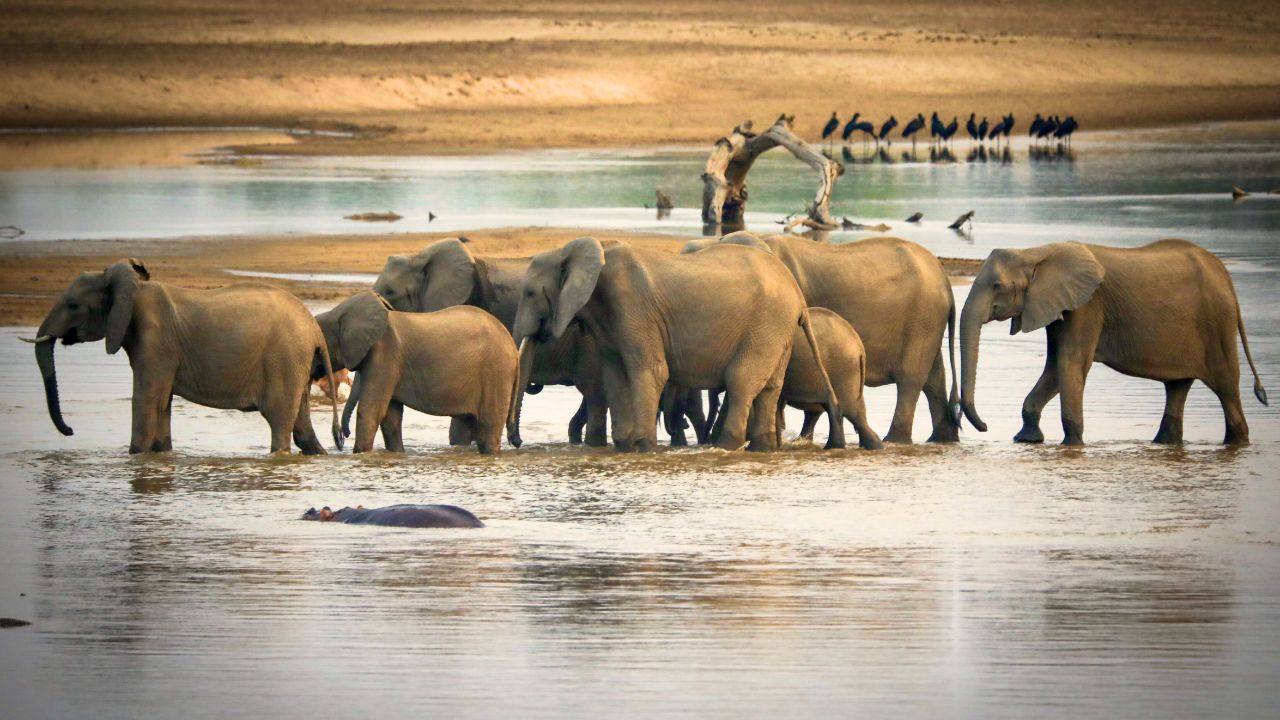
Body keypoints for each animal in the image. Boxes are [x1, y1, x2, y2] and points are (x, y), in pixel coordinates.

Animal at [25, 259, 341, 454]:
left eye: (73, 305)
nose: (70, 430)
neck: (135, 288)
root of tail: (314, 329)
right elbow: (162, 403)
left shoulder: (155, 342)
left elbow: (145, 400)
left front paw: (135, 456)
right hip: (295, 363)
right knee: (302, 429)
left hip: (284, 359)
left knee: (280, 422)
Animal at [316, 291, 520, 455]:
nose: (341, 439)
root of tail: (513, 347)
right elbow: (391, 417)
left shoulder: (384, 356)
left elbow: (370, 411)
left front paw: (360, 455)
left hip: (497, 373)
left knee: (488, 429)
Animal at [512, 236, 844, 452]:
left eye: (529, 293)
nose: (518, 442)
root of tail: (798, 295)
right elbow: (615, 376)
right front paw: (623, 447)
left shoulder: (633, 308)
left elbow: (650, 372)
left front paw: (643, 448)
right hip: (777, 330)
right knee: (770, 388)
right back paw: (759, 449)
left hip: (766, 325)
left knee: (741, 382)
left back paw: (724, 447)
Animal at [685, 232, 960, 444]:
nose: (705, 437)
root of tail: (945, 281)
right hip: (928, 324)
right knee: (934, 379)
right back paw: (941, 439)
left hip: (923, 320)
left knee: (911, 379)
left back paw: (894, 440)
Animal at [959, 240, 1268, 445]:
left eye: (997, 286)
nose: (984, 426)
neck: (1036, 252)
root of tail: (1227, 279)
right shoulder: (1060, 306)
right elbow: (1055, 367)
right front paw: (1026, 440)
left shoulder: (1087, 306)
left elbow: (1070, 364)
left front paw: (1071, 446)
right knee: (1177, 387)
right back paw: (1164, 443)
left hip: (1217, 324)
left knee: (1227, 388)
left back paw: (1237, 443)